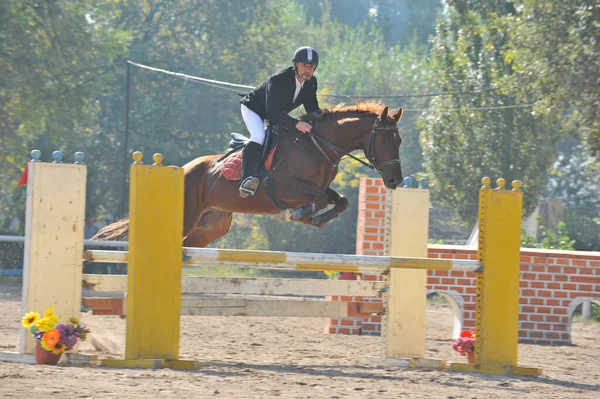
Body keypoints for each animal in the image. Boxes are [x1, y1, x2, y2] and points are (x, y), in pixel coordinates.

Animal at [96, 101, 404, 248]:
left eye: (399, 140)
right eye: (384, 140)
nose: (395, 182)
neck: (317, 144)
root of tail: (182, 170)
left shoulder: (321, 188)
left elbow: (340, 201)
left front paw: (314, 218)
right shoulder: (288, 189)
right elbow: (315, 200)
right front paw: (302, 215)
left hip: (211, 225)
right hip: (187, 217)